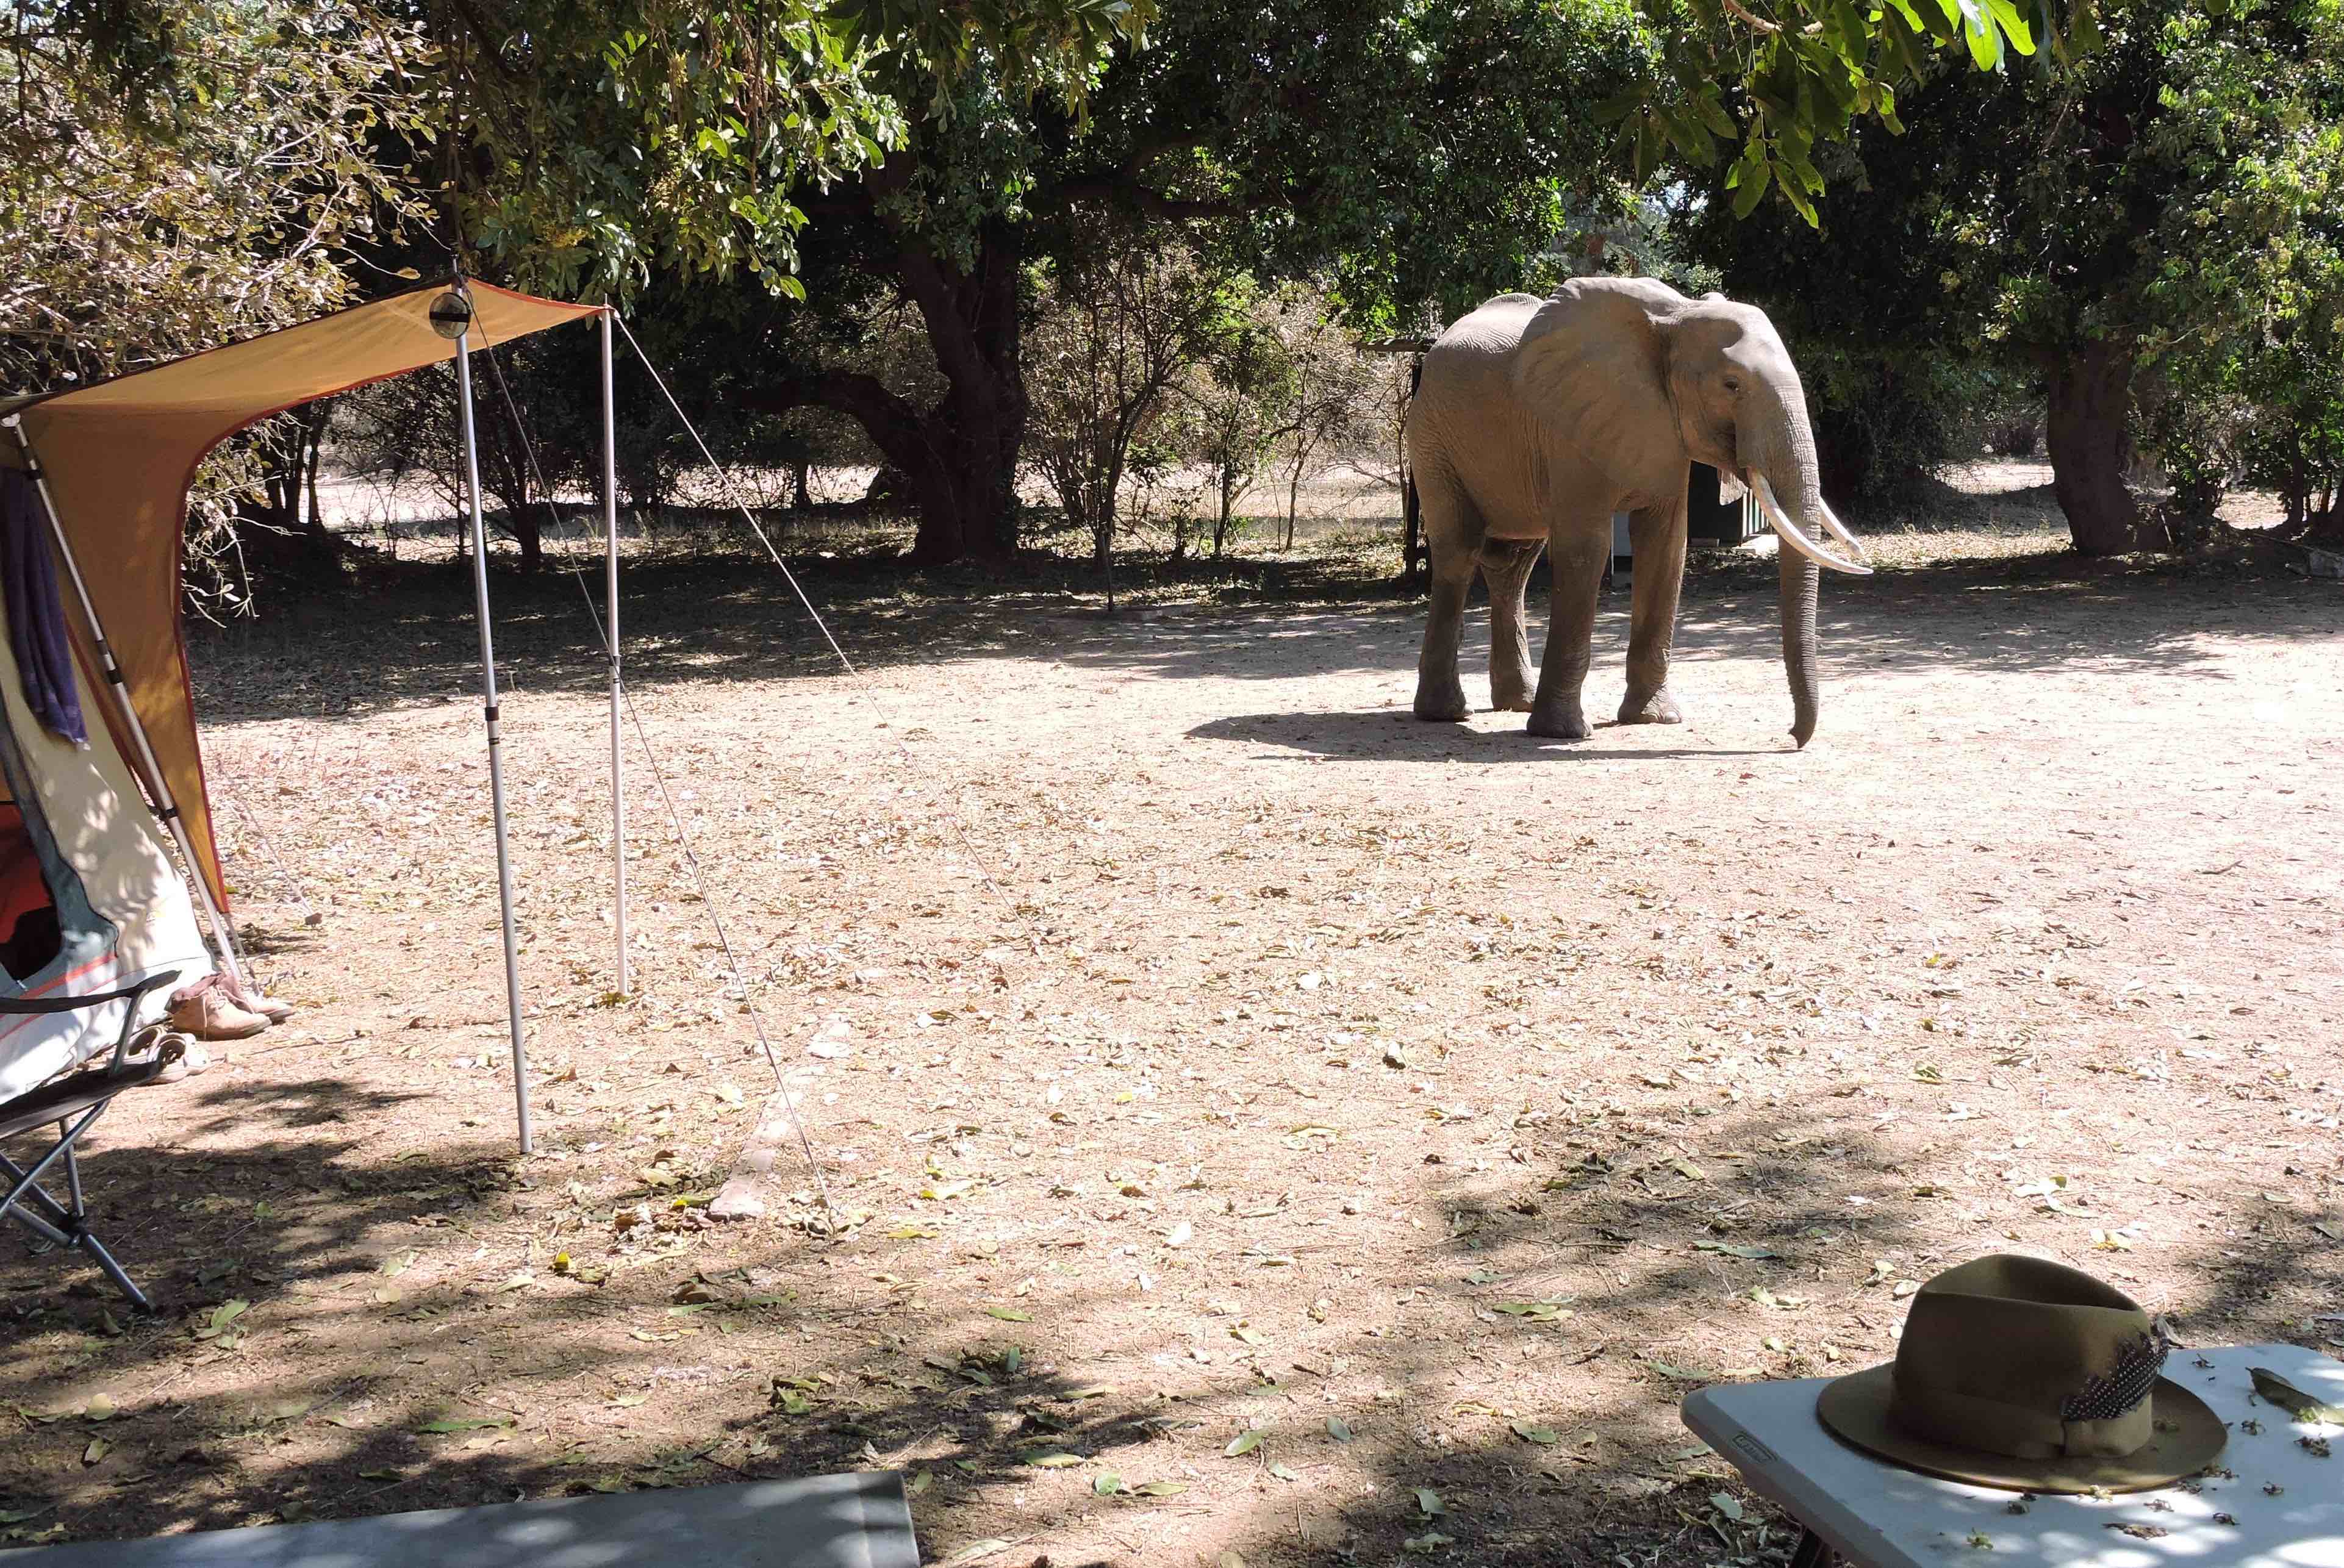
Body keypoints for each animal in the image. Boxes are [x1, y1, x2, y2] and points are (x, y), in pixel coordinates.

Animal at [1404, 278, 1870, 747]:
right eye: (1731, 385)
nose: (1791, 736)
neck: (1676, 318)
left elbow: (1666, 546)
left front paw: (1654, 719)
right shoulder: (1575, 422)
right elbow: (1586, 549)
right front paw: (1564, 734)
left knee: (1513, 564)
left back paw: (1516, 703)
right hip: (1432, 440)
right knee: (1460, 552)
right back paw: (1446, 713)